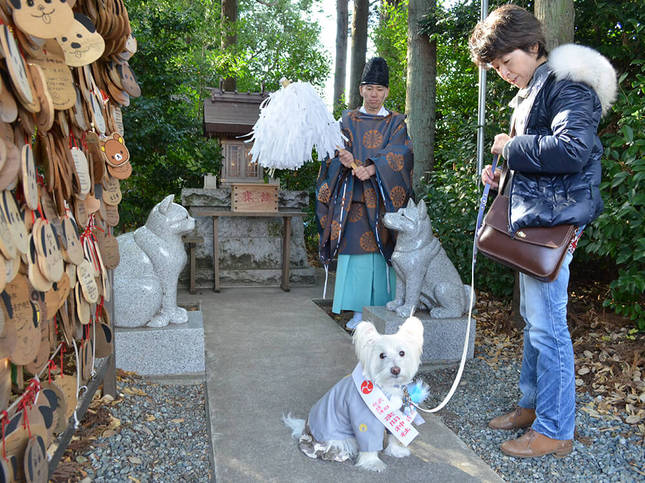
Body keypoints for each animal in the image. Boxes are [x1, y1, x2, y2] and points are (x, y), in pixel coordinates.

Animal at [284, 318, 426, 472]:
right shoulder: (365, 420)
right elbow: (369, 442)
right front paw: (373, 463)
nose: (395, 370)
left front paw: (396, 450)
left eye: (402, 353)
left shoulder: (394, 414)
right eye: (382, 355)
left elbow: (394, 435)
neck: (385, 387)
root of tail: (305, 431)